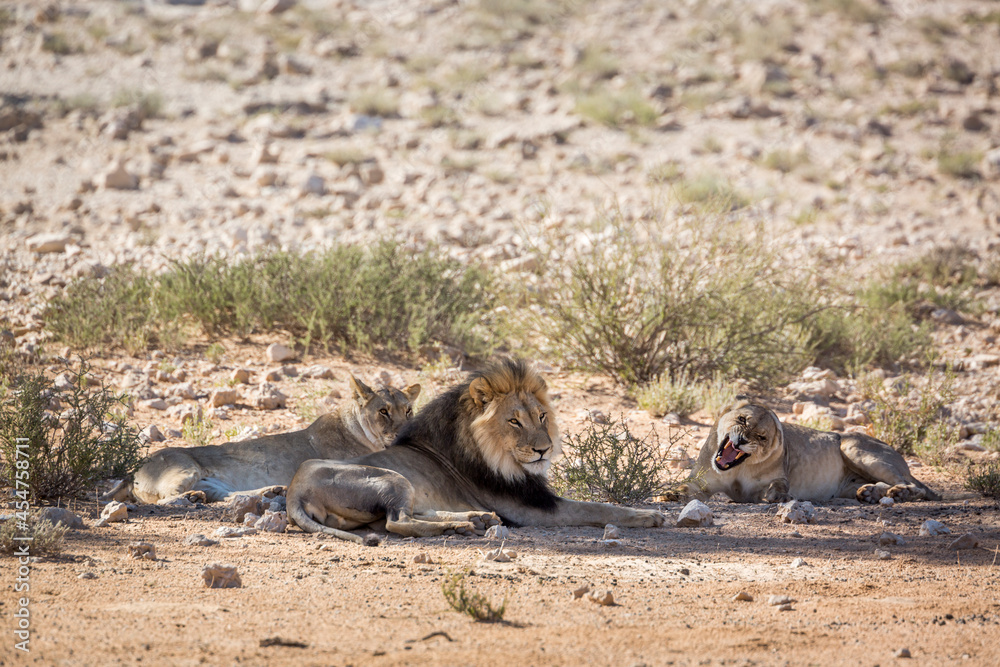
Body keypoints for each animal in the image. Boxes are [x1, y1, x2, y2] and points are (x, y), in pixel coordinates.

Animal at [103, 376, 420, 504]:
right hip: (184, 467)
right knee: (166, 498)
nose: (406, 429)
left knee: (229, 496)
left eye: (408, 410)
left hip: (212, 482)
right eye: (383, 411)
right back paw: (191, 498)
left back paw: (272, 491)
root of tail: (131, 472)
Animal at [286, 358, 665, 544]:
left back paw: (476, 519)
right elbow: (599, 507)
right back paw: (460, 527)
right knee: (397, 523)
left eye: (541, 416)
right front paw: (649, 516)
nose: (544, 450)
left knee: (403, 517)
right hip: (393, 478)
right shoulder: (531, 509)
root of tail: (294, 491)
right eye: (514, 421)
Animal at [679, 400, 940, 504]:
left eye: (761, 437)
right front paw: (672, 494)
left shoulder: (778, 476)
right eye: (742, 419)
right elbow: (686, 487)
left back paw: (899, 493)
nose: (742, 440)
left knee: (916, 486)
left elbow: (778, 486)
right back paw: (869, 494)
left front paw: (779, 497)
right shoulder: (702, 482)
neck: (736, 469)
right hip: (847, 485)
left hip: (852, 446)